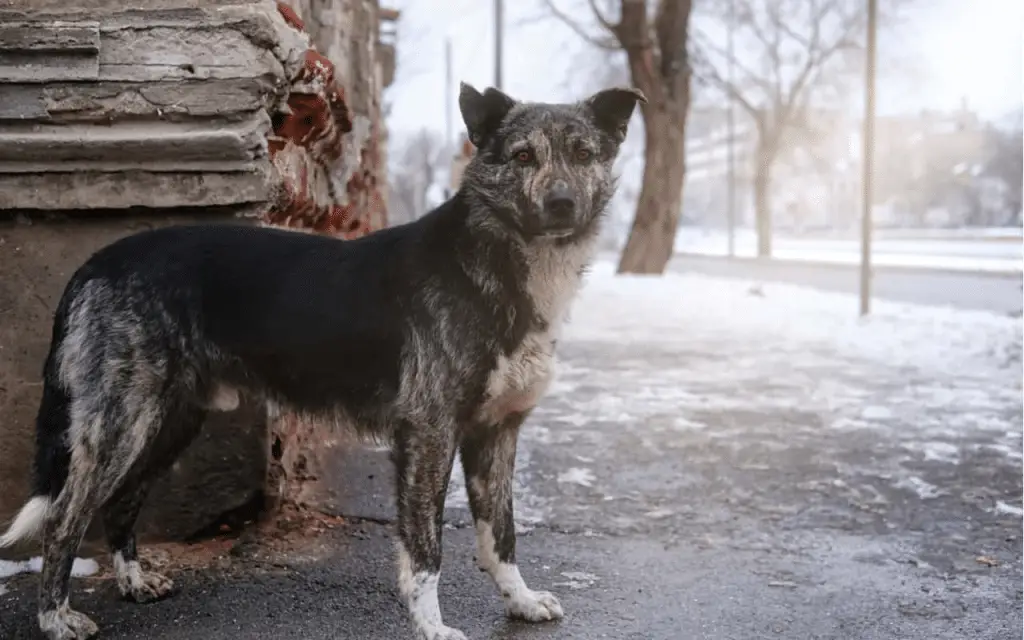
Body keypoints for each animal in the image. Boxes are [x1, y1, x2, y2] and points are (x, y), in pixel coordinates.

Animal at [0, 82, 643, 634]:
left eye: (584, 153)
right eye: (522, 156)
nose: (561, 204)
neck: (492, 263)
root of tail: (95, 262)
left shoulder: (497, 433)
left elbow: (501, 535)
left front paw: (521, 600)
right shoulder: (429, 434)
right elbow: (426, 550)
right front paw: (431, 626)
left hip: (169, 420)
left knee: (120, 502)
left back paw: (132, 582)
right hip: (122, 424)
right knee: (64, 519)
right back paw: (55, 617)